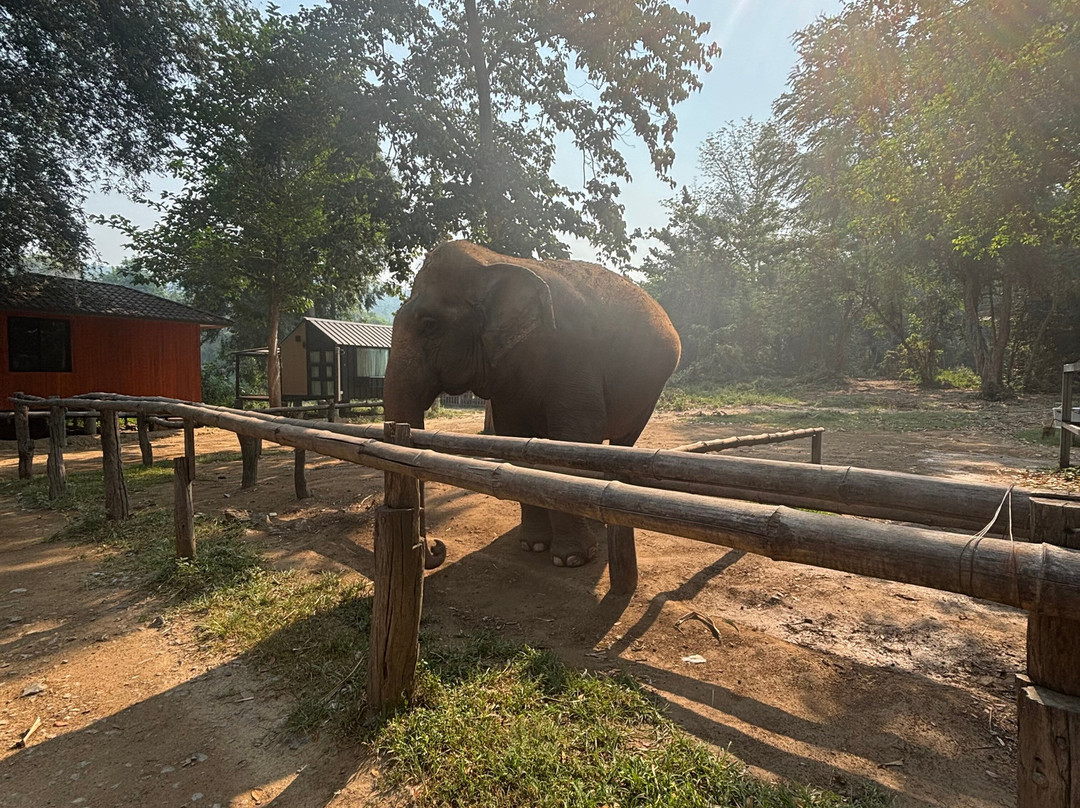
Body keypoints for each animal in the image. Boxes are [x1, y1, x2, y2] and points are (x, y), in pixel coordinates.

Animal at [383, 239, 681, 568]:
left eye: (429, 324)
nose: (436, 547)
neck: (494, 262)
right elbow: (513, 438)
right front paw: (533, 545)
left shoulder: (574, 353)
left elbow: (574, 437)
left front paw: (572, 559)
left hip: (649, 393)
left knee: (623, 443)